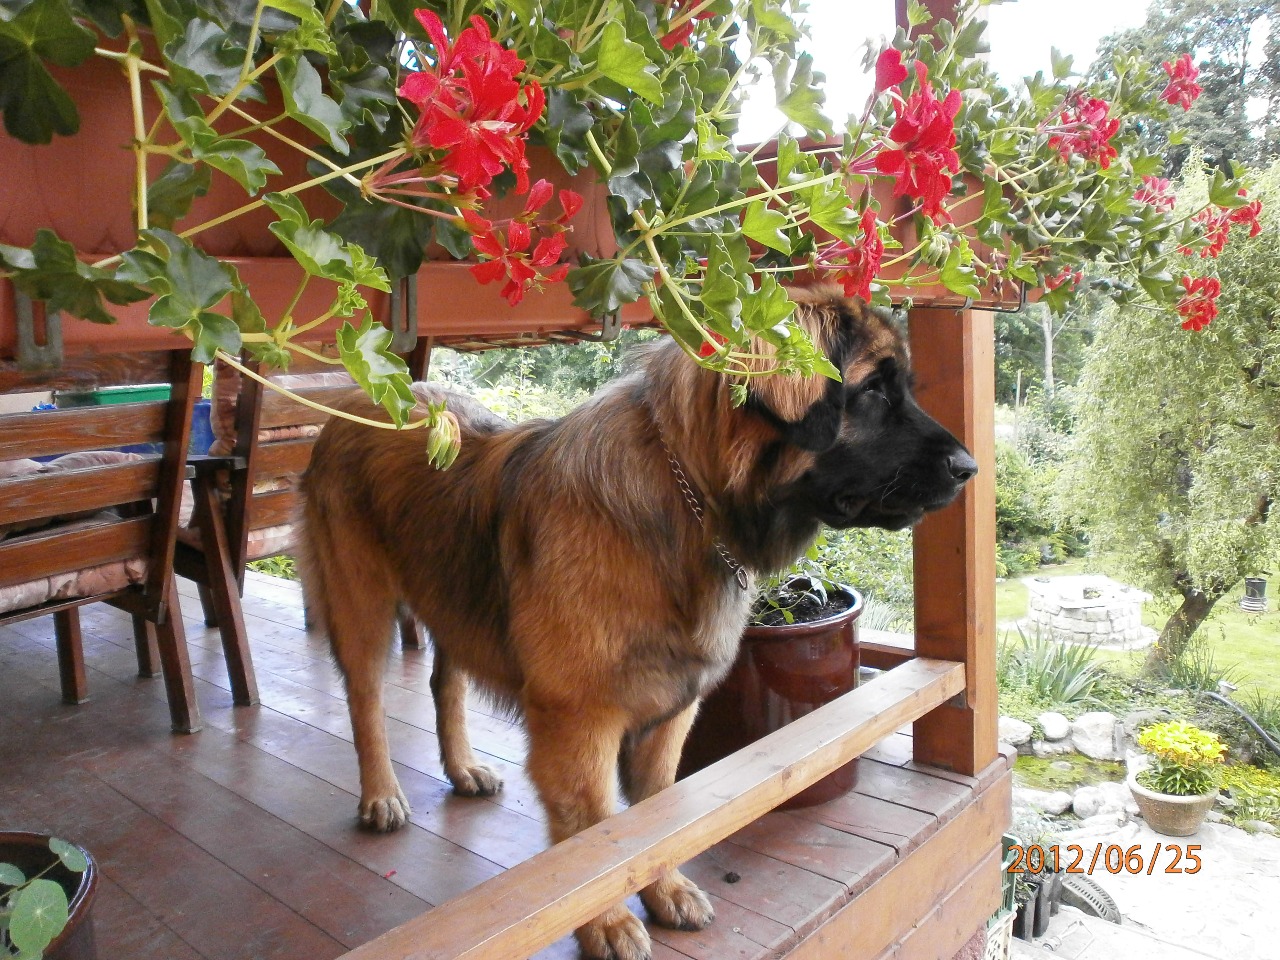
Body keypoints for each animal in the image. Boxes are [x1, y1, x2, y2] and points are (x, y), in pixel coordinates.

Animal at [298, 286, 977, 960]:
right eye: (873, 390)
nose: (969, 467)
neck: (689, 498)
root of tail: (357, 399)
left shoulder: (672, 711)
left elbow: (657, 817)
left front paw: (663, 888)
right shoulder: (580, 722)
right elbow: (594, 831)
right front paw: (605, 922)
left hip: (454, 594)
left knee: (446, 683)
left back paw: (462, 768)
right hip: (362, 605)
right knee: (365, 703)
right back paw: (381, 795)